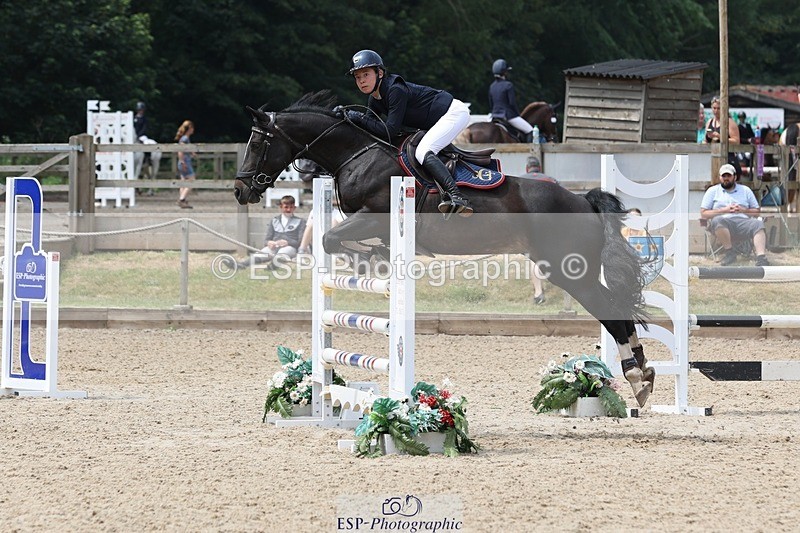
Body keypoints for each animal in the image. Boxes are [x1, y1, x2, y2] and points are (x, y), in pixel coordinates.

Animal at [233, 91, 654, 407]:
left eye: (259, 141)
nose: (240, 190)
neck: (358, 154)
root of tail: (583, 201)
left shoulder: (375, 216)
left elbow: (330, 239)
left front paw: (372, 258)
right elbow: (334, 240)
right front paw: (375, 257)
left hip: (569, 271)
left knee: (614, 316)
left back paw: (638, 378)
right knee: (618, 312)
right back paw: (643, 373)